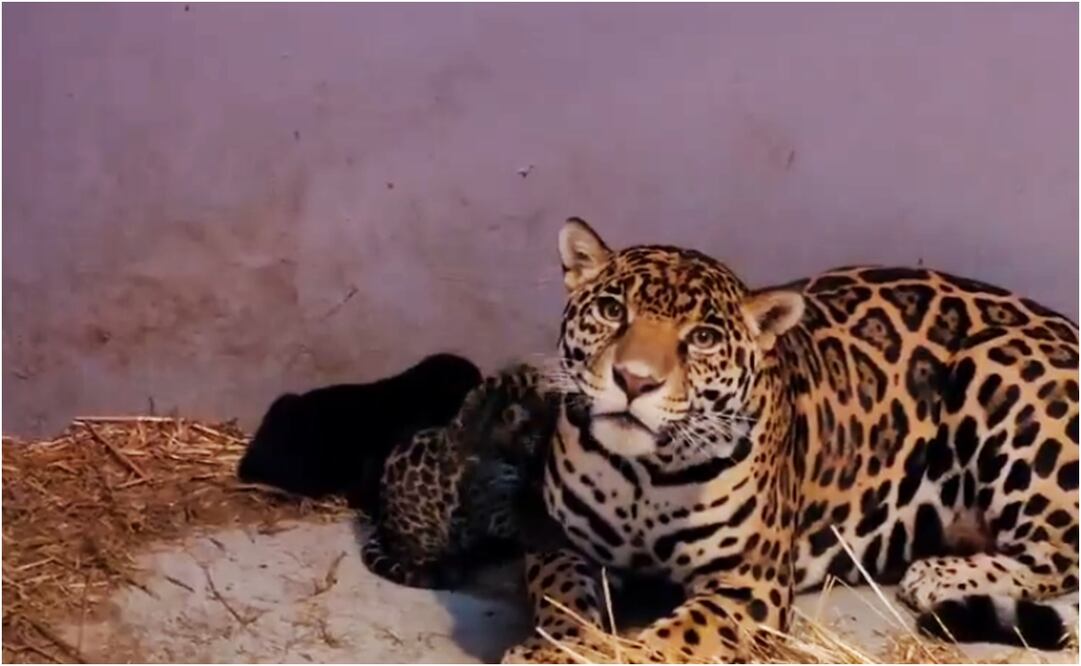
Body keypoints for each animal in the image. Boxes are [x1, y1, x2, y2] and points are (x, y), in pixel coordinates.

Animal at [503, 217, 1079, 662]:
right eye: (611, 311)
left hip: (999, 370)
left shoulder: (748, 581)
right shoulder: (557, 542)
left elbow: (666, 639)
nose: (635, 380)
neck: (645, 472)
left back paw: (938, 575)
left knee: (1058, 553)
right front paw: (556, 646)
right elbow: (563, 601)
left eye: (703, 338)